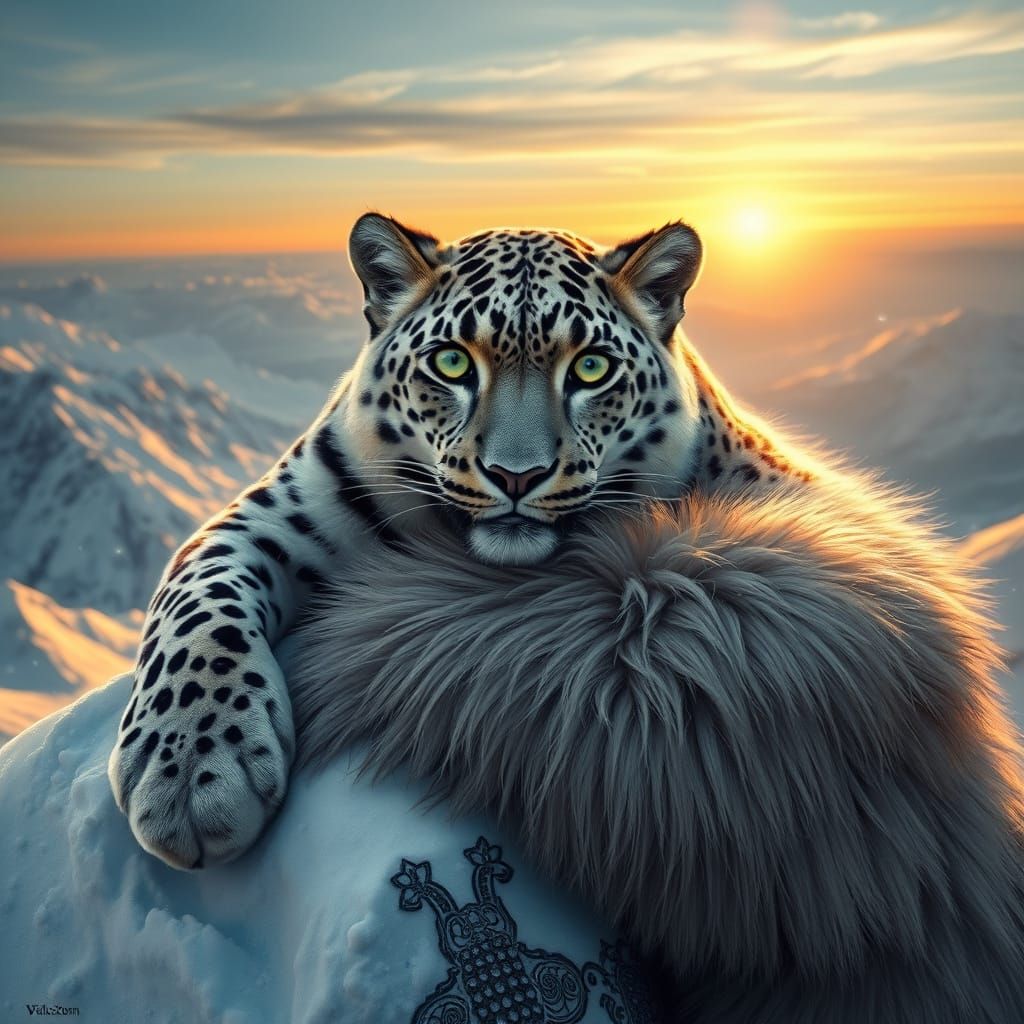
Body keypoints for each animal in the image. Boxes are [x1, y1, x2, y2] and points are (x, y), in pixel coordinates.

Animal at [108, 213, 815, 869]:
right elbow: (196, 604)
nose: (517, 475)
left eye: (591, 368)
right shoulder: (270, 517)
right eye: (451, 362)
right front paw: (192, 766)